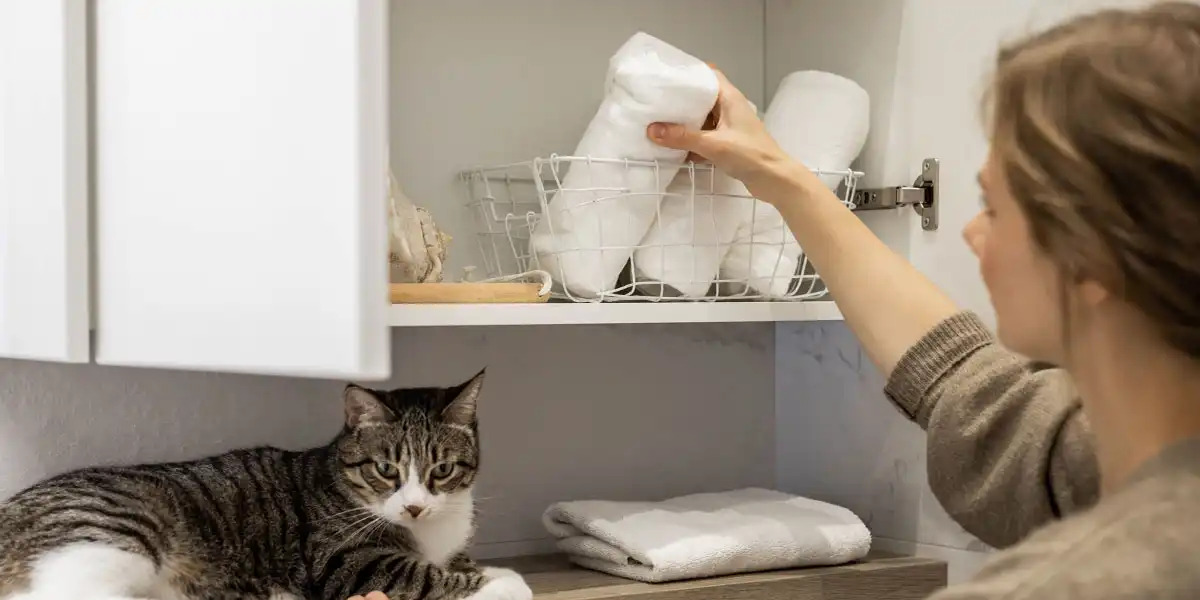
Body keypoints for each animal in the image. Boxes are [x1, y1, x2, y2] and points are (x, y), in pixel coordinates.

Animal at [0, 369, 535, 600]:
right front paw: (505, 582)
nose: (416, 508)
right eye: (385, 470)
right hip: (110, 537)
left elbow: (455, 565)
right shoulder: (344, 559)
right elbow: (428, 576)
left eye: (441, 471)